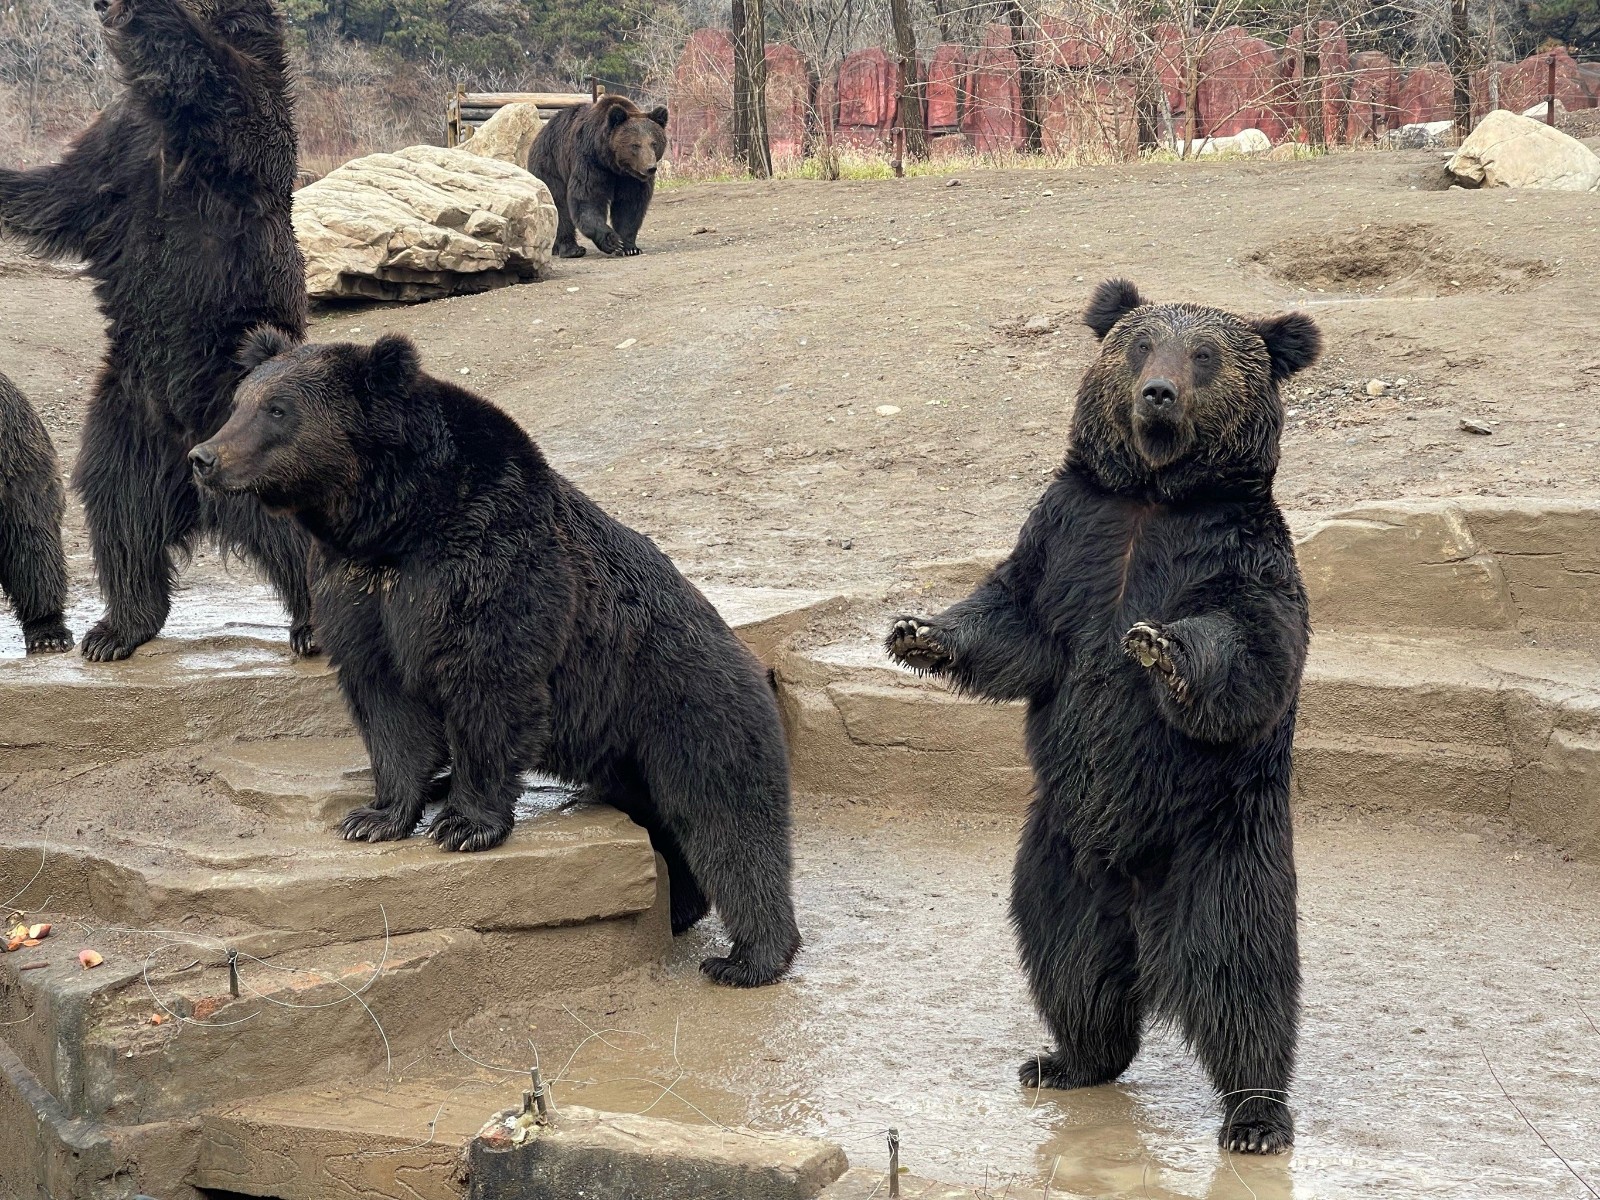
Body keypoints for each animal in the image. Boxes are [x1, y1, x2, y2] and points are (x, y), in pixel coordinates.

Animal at [188, 329, 802, 988]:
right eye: (239, 402)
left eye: (278, 410)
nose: (203, 457)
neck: (394, 520)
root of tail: (754, 664)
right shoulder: (359, 589)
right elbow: (385, 701)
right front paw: (374, 816)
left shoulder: (492, 561)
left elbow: (490, 685)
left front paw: (462, 824)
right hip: (627, 757)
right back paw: (683, 909)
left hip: (687, 707)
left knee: (727, 821)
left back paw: (747, 958)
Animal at [527, 95, 668, 259]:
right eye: (635, 145)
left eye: (654, 143)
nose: (650, 168)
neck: (613, 164)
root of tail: (541, 132)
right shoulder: (590, 161)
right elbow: (588, 199)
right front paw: (612, 241)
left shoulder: (630, 179)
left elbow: (630, 205)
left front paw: (629, 247)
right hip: (551, 165)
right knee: (559, 205)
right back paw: (571, 249)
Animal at [886, 279, 1320, 1154]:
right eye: (1140, 344)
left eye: (1204, 355)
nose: (1157, 394)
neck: (1152, 495)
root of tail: (1136, 886)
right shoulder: (1068, 535)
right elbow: (1013, 617)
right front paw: (918, 633)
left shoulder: (1239, 553)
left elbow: (1249, 645)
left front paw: (1160, 646)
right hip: (1059, 852)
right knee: (1067, 956)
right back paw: (1068, 1057)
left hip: (1219, 839)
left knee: (1242, 971)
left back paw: (1256, 1114)